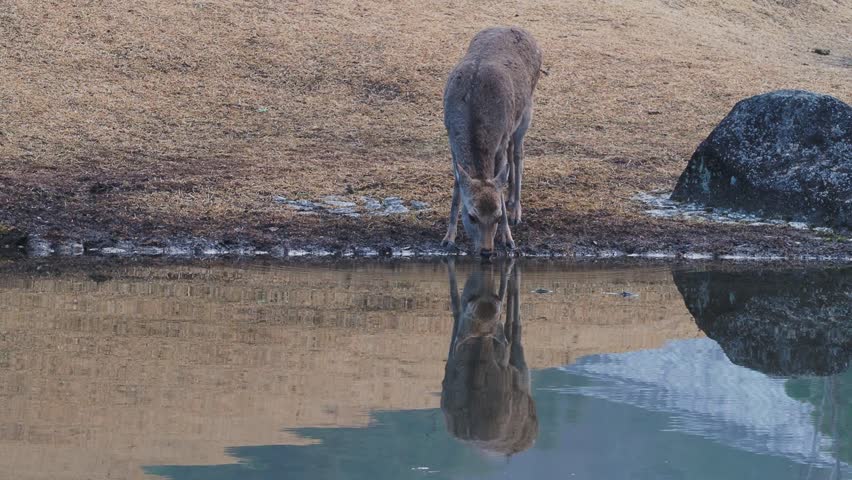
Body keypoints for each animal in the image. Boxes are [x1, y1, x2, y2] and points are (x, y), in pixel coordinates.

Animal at [441, 26, 542, 258]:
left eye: (496, 216)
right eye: (471, 216)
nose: (487, 251)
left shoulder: (500, 142)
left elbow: (499, 182)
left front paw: (508, 239)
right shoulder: (451, 141)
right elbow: (457, 187)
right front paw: (448, 238)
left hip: (526, 113)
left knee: (518, 154)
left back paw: (516, 210)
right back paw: (512, 199)